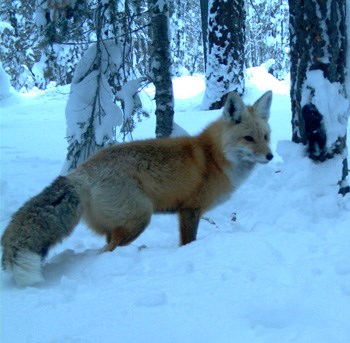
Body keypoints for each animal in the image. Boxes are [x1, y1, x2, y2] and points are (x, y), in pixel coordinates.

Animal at [0, 90, 274, 286]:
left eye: (266, 137)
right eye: (248, 139)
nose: (271, 156)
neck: (214, 157)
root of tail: (79, 173)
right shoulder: (190, 209)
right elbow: (188, 242)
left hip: (119, 224)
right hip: (140, 218)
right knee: (105, 252)